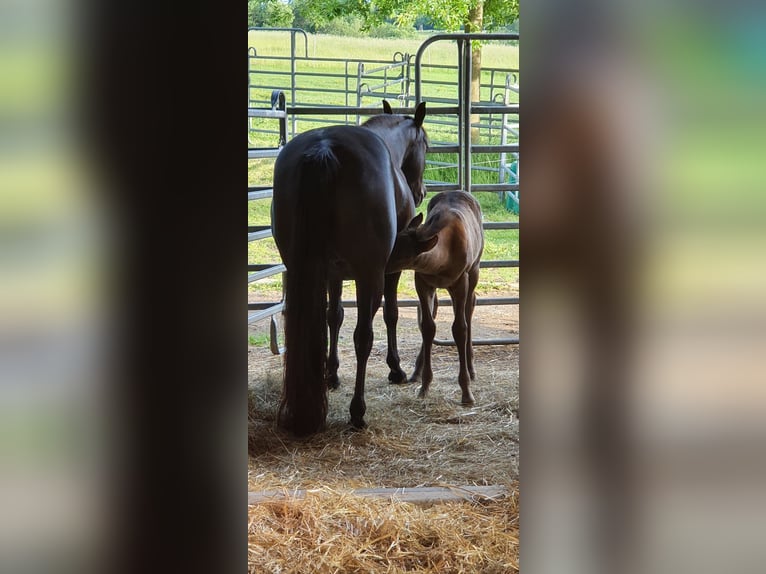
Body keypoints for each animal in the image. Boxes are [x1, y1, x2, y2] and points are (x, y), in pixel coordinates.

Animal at [271, 101, 428, 436]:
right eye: (426, 145)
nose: (421, 192)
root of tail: (324, 149)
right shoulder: (388, 270)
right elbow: (390, 314)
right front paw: (395, 367)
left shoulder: (333, 273)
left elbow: (334, 317)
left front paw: (331, 374)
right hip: (370, 275)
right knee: (363, 337)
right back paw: (358, 411)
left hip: (301, 268)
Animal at [386, 191, 485, 405]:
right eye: (393, 242)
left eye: (400, 253)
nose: (381, 264)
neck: (440, 261)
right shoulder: (422, 281)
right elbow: (427, 326)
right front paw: (425, 386)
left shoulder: (461, 279)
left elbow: (460, 328)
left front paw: (466, 392)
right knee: (437, 308)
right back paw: (416, 371)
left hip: (475, 268)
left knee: (470, 305)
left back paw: (472, 368)